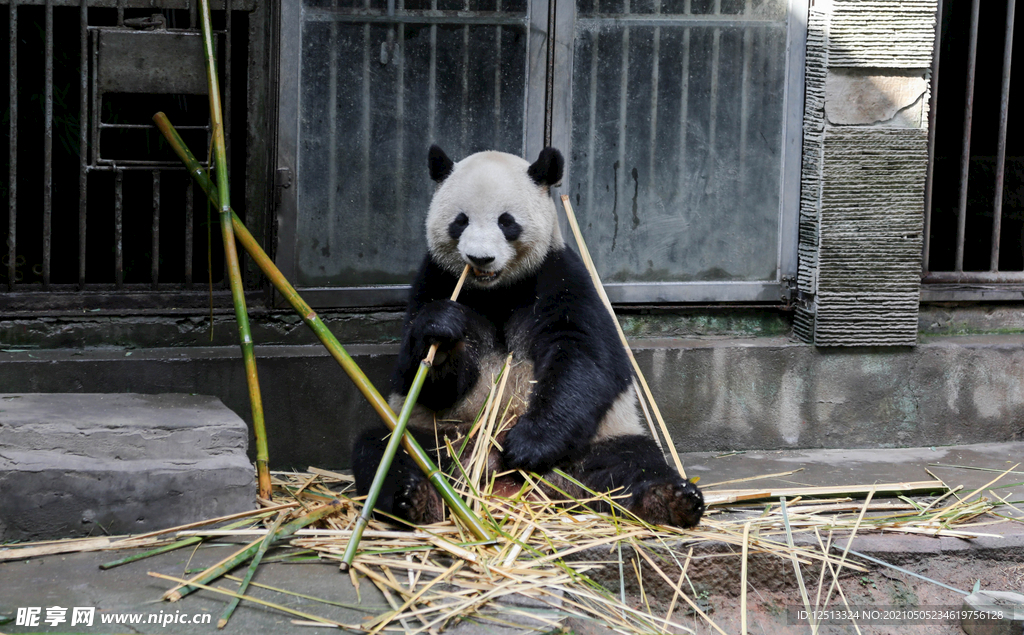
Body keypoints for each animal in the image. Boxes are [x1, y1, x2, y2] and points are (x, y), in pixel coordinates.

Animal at [352, 145, 704, 529]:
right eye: (460, 220)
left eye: (507, 221)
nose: (480, 258)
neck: (496, 290)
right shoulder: (437, 279)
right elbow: (418, 376)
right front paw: (442, 335)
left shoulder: (559, 277)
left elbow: (584, 358)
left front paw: (528, 445)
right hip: (442, 436)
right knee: (387, 450)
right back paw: (417, 499)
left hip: (598, 439)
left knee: (632, 462)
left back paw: (669, 500)